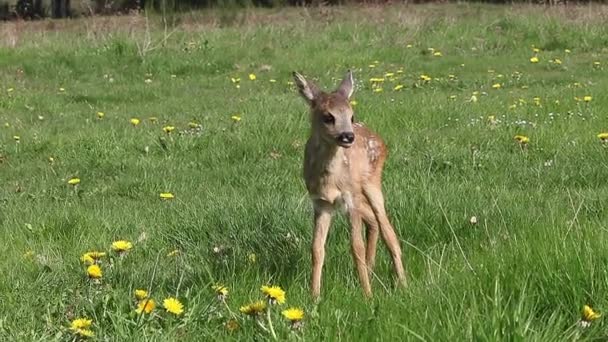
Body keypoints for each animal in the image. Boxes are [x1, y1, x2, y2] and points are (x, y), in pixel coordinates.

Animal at [292, 70, 406, 300]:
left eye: (351, 116)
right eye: (328, 116)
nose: (348, 136)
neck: (330, 180)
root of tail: (379, 139)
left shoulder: (350, 199)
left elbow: (356, 247)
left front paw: (367, 295)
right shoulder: (321, 203)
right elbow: (316, 248)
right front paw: (314, 296)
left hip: (371, 184)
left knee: (388, 231)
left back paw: (403, 284)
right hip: (359, 194)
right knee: (373, 222)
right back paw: (371, 270)